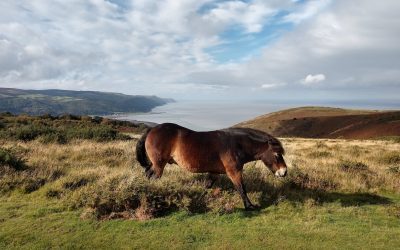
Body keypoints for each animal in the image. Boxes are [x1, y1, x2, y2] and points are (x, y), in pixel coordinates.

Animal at [136, 122, 286, 210]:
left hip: (154, 164)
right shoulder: (234, 171)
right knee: (152, 177)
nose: (284, 172)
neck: (236, 144)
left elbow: (206, 187)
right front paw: (249, 206)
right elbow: (242, 188)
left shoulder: (214, 173)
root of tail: (152, 129)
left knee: (147, 173)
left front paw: (199, 199)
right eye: (277, 154)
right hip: (159, 165)